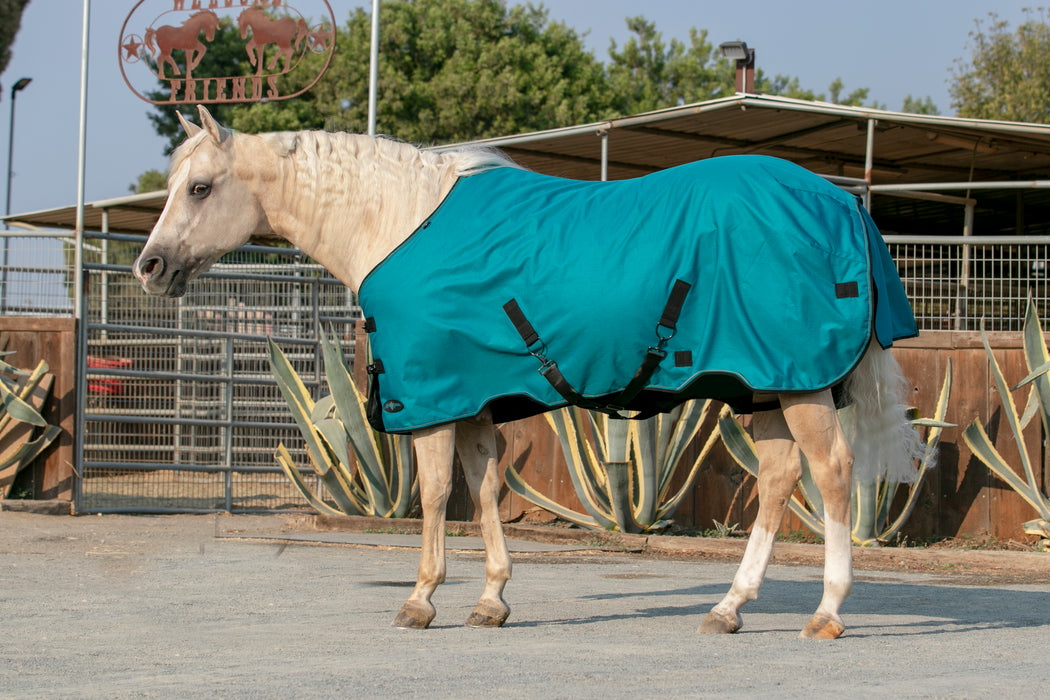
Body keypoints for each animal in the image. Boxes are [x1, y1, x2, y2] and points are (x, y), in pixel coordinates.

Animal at [134, 106, 924, 639]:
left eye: (200, 187)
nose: (149, 266)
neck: (399, 222)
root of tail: (840, 202)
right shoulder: (479, 398)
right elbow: (484, 491)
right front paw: (491, 599)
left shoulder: (435, 397)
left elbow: (433, 495)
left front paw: (422, 598)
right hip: (763, 385)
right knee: (779, 479)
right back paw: (729, 606)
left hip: (799, 383)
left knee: (832, 475)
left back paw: (827, 611)